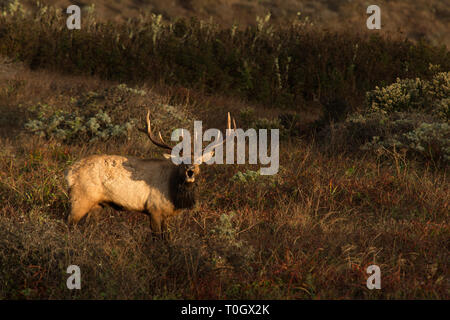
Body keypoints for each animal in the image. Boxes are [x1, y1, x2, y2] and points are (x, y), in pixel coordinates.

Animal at [67, 111, 237, 236]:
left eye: (198, 162)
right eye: (181, 161)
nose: (190, 170)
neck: (174, 195)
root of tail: (69, 173)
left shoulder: (166, 215)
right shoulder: (154, 209)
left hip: (97, 204)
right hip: (80, 198)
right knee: (69, 223)